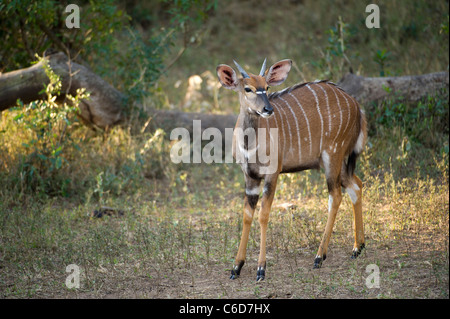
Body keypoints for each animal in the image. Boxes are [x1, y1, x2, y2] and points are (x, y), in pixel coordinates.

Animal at [216, 58, 368, 282]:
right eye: (247, 88)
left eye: (267, 87)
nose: (267, 109)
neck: (250, 145)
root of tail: (357, 106)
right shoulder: (250, 177)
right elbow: (247, 215)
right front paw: (236, 267)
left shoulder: (272, 173)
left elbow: (263, 215)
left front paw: (261, 269)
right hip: (336, 162)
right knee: (355, 185)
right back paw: (358, 248)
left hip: (333, 155)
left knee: (336, 195)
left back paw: (319, 256)